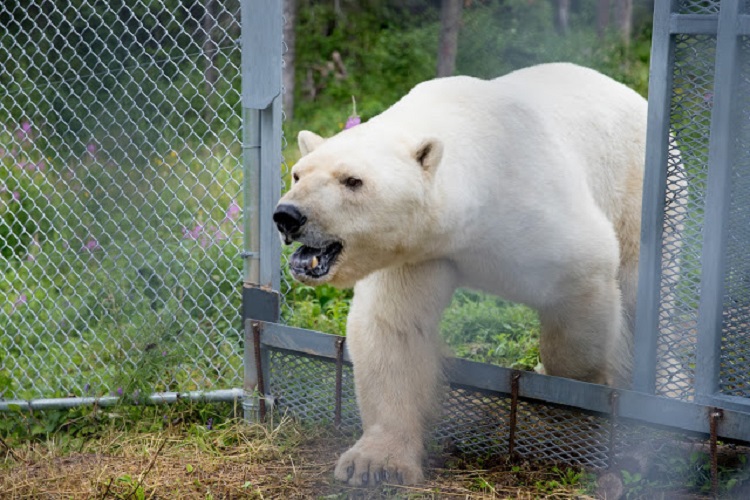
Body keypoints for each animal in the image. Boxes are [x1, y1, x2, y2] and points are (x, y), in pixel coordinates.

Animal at [274, 62, 648, 484]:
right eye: (298, 174)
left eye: (353, 180)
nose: (288, 216)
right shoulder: (420, 250)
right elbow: (395, 328)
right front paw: (375, 464)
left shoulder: (539, 208)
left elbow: (584, 279)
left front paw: (579, 390)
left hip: (635, 185)